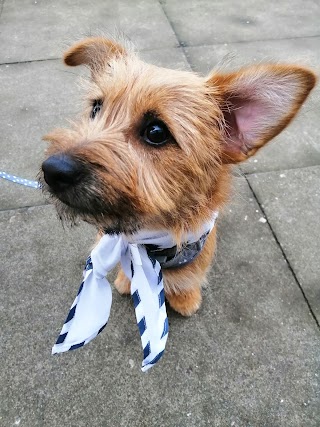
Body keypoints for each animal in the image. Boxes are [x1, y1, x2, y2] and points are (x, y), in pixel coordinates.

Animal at [40, 36, 318, 318]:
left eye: (156, 132)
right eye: (96, 108)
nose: (53, 170)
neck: (151, 241)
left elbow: (188, 280)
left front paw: (186, 299)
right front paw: (126, 281)